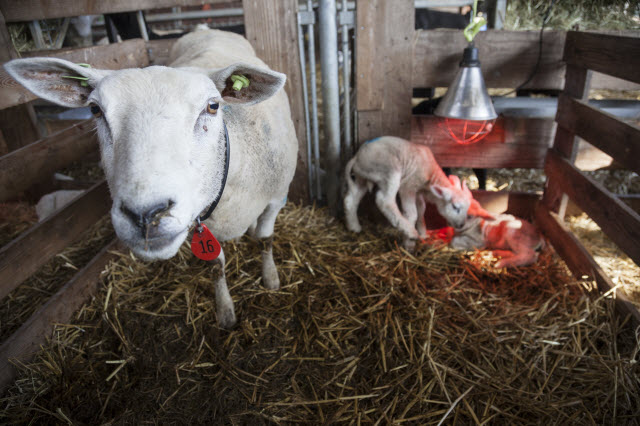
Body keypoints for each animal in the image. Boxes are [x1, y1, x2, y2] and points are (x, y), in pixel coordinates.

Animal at [3, 28, 298, 328]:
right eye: (95, 110)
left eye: (213, 106)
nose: (145, 215)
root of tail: (206, 28)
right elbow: (216, 265)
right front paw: (225, 310)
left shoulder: (277, 197)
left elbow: (265, 238)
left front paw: (271, 278)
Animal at [344, 136, 476, 248]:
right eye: (455, 207)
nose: (461, 225)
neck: (431, 174)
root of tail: (357, 157)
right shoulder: (408, 186)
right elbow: (412, 213)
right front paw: (408, 242)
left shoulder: (418, 191)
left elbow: (421, 209)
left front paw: (423, 233)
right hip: (389, 169)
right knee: (384, 201)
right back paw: (410, 231)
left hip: (362, 177)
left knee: (351, 200)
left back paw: (354, 227)